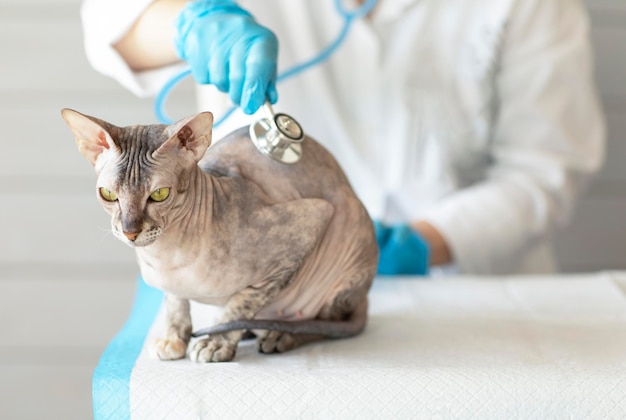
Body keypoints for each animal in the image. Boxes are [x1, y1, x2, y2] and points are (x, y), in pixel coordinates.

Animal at [62, 107, 376, 360]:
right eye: (108, 194)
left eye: (159, 194)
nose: (130, 232)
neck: (166, 256)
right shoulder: (168, 284)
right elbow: (174, 302)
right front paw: (174, 339)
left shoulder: (310, 220)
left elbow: (241, 304)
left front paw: (217, 343)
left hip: (350, 232)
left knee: (328, 323)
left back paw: (281, 335)